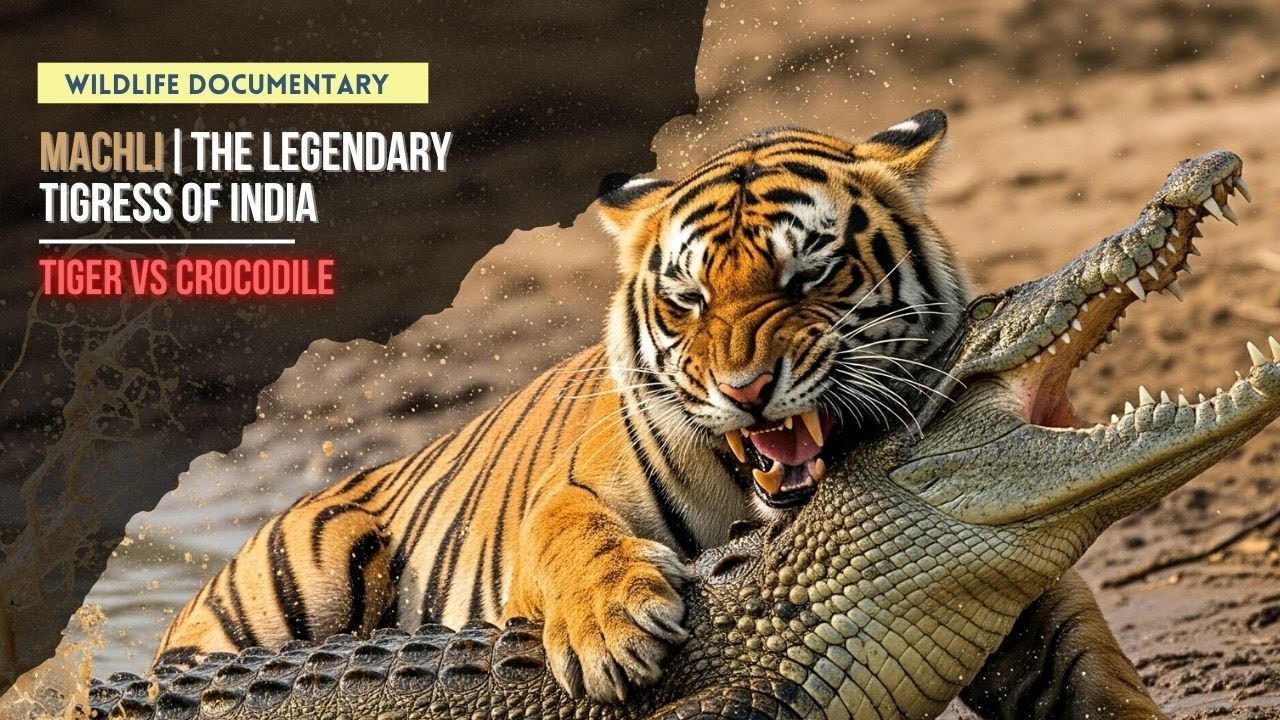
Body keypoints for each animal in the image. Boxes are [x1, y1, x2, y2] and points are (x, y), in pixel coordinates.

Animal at [154, 109, 1164, 715]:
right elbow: (565, 529)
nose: (746, 390)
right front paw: (609, 629)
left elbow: (1089, 663)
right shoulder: (563, 501)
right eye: (687, 301)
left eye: (811, 275)